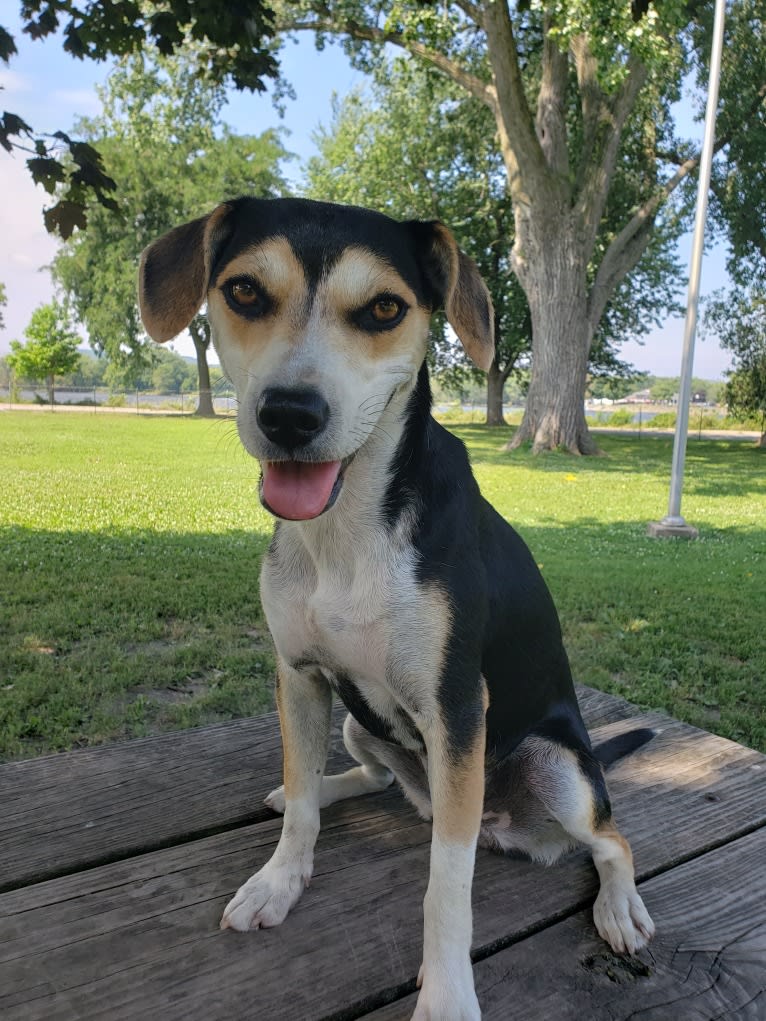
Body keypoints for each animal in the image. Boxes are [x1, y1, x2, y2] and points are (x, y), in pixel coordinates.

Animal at [137, 199, 653, 1021]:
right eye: (245, 290)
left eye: (384, 308)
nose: (289, 414)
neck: (346, 529)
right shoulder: (299, 675)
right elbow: (303, 804)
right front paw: (280, 876)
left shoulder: (456, 706)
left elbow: (447, 885)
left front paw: (445, 996)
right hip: (360, 720)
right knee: (372, 780)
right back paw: (320, 787)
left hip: (561, 770)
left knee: (611, 840)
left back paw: (620, 906)